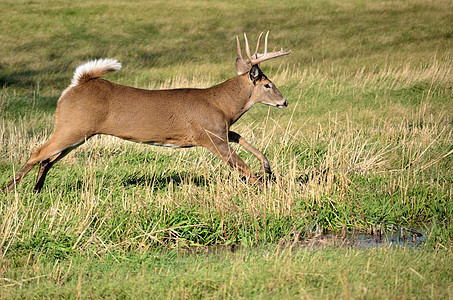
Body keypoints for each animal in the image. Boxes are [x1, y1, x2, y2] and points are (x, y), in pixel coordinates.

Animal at [2, 31, 290, 192]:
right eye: (268, 84)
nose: (284, 102)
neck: (222, 105)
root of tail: (76, 85)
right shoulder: (209, 135)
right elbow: (242, 166)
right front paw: (265, 190)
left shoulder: (220, 130)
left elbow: (243, 140)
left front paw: (268, 169)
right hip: (72, 127)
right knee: (38, 153)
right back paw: (10, 190)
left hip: (79, 132)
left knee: (47, 159)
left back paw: (37, 190)